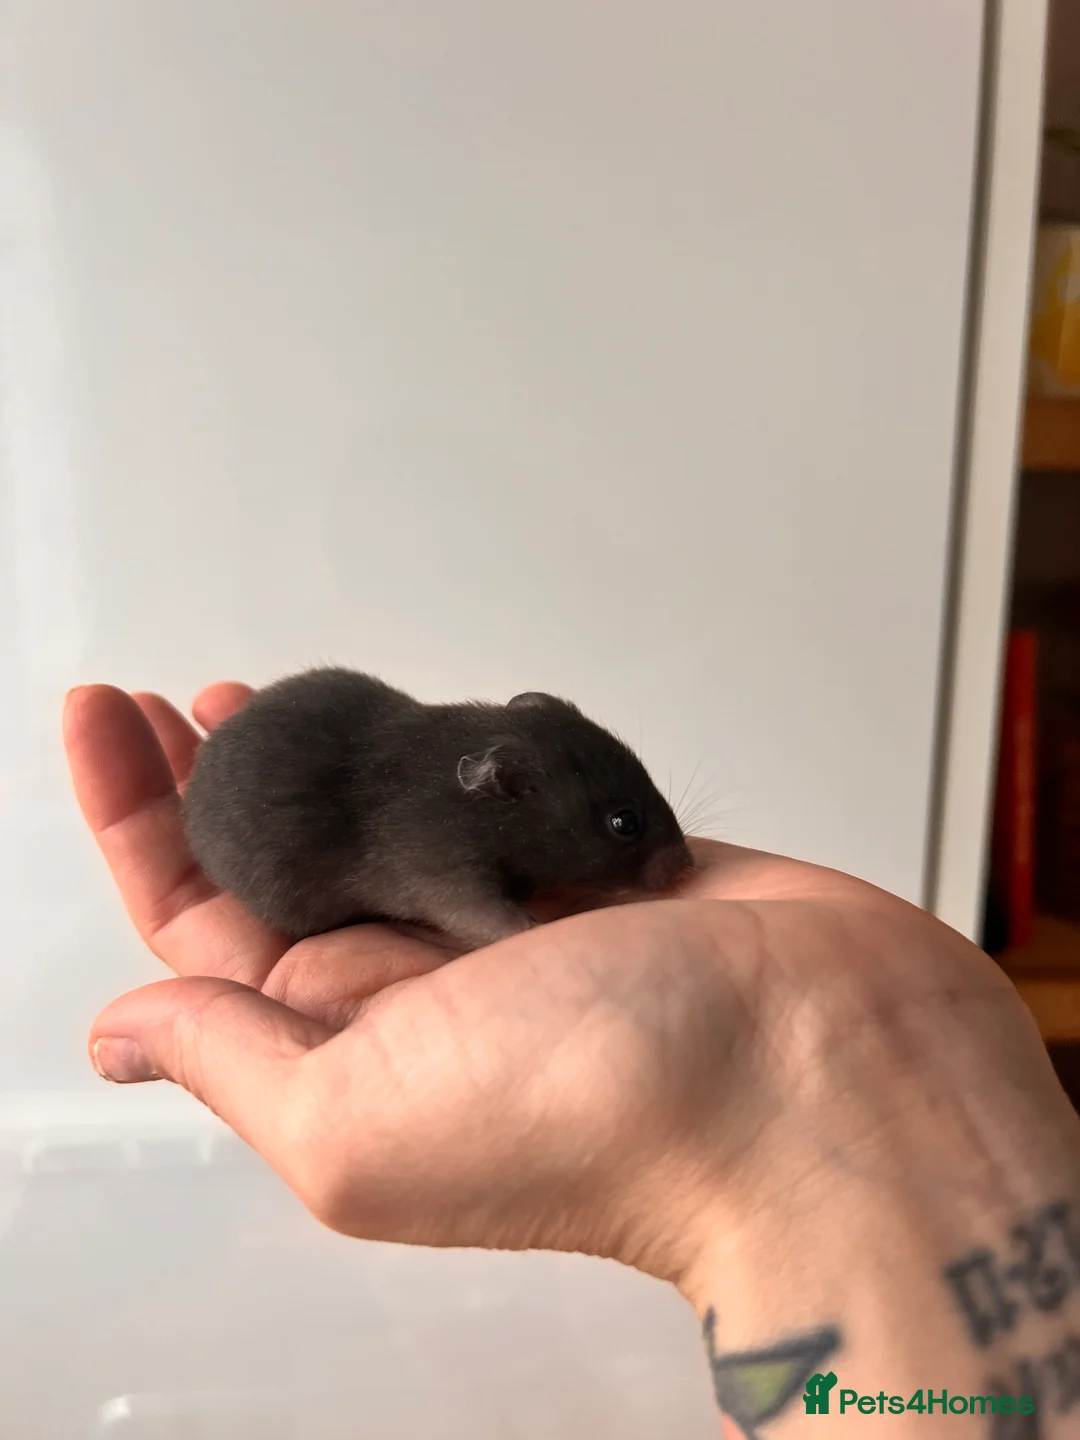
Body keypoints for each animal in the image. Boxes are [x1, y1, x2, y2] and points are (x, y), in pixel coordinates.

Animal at [182, 667, 693, 951]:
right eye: (624, 822)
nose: (688, 868)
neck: (484, 814)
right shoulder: (445, 875)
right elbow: (487, 915)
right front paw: (530, 927)